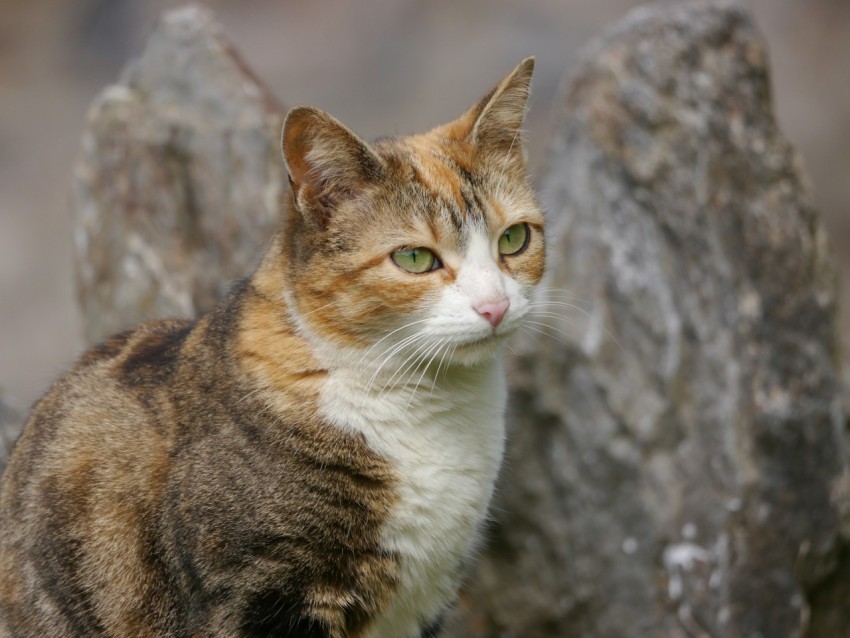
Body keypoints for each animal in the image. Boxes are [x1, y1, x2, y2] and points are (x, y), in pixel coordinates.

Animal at [0, 57, 544, 636]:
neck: (429, 405)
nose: (494, 306)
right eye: (415, 258)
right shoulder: (260, 593)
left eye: (514, 239)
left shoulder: (426, 601)